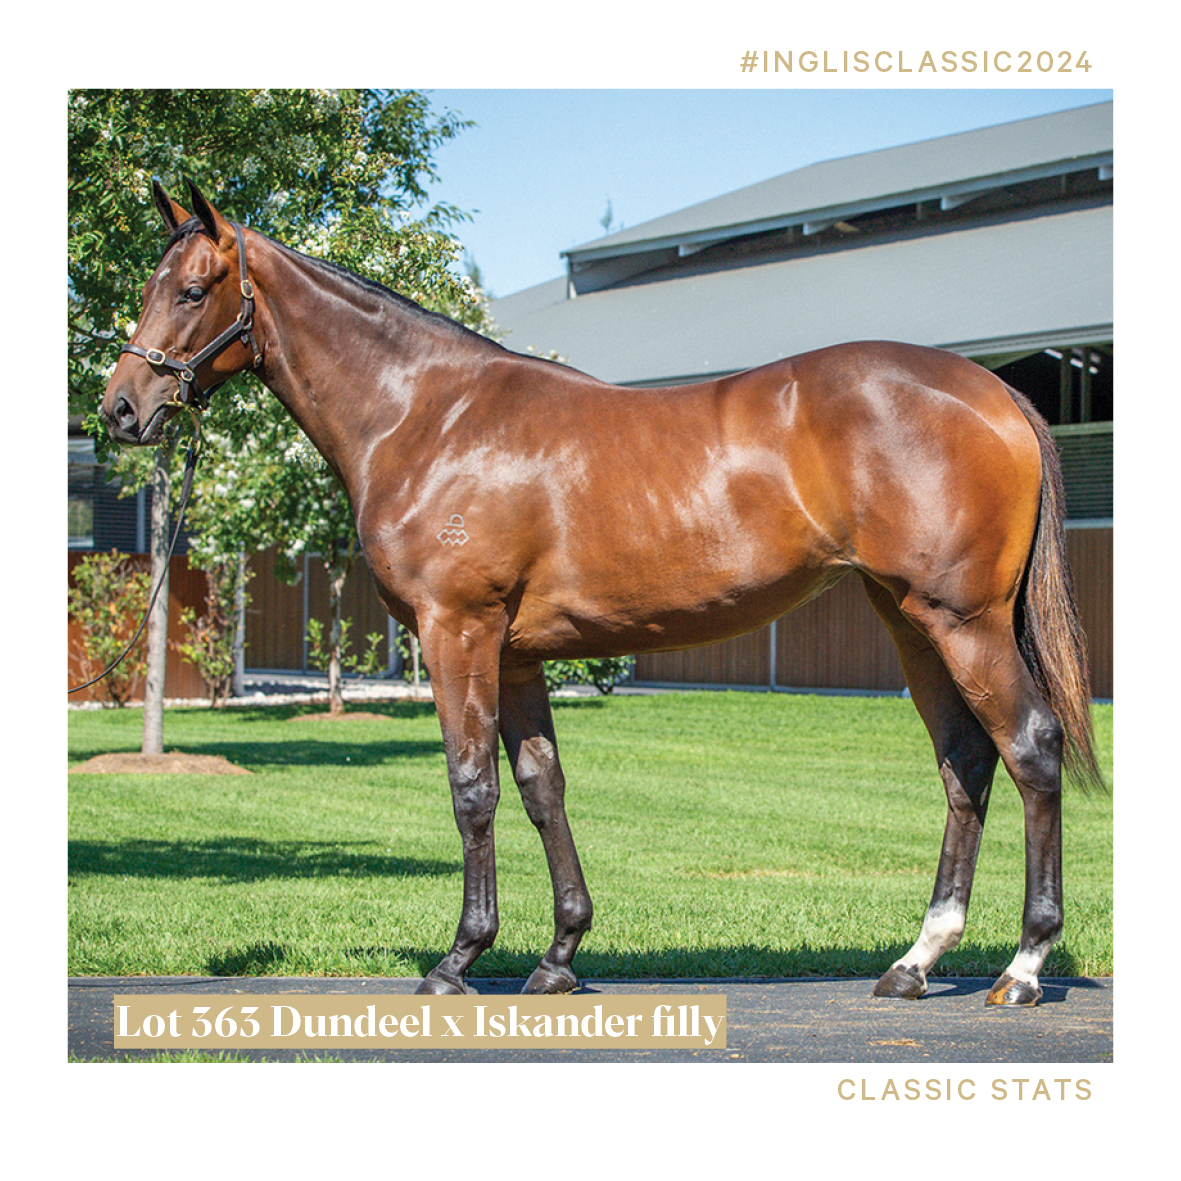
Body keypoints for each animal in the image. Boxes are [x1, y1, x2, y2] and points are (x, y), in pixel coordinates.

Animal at [100, 181, 1101, 1006]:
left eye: (192, 290)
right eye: (151, 284)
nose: (119, 408)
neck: (428, 415)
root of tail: (996, 394)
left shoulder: (456, 630)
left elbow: (471, 788)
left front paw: (459, 959)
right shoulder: (513, 655)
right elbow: (541, 787)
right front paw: (557, 955)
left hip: (961, 623)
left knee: (1029, 748)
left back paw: (1021, 967)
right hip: (908, 622)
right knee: (964, 763)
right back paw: (914, 962)